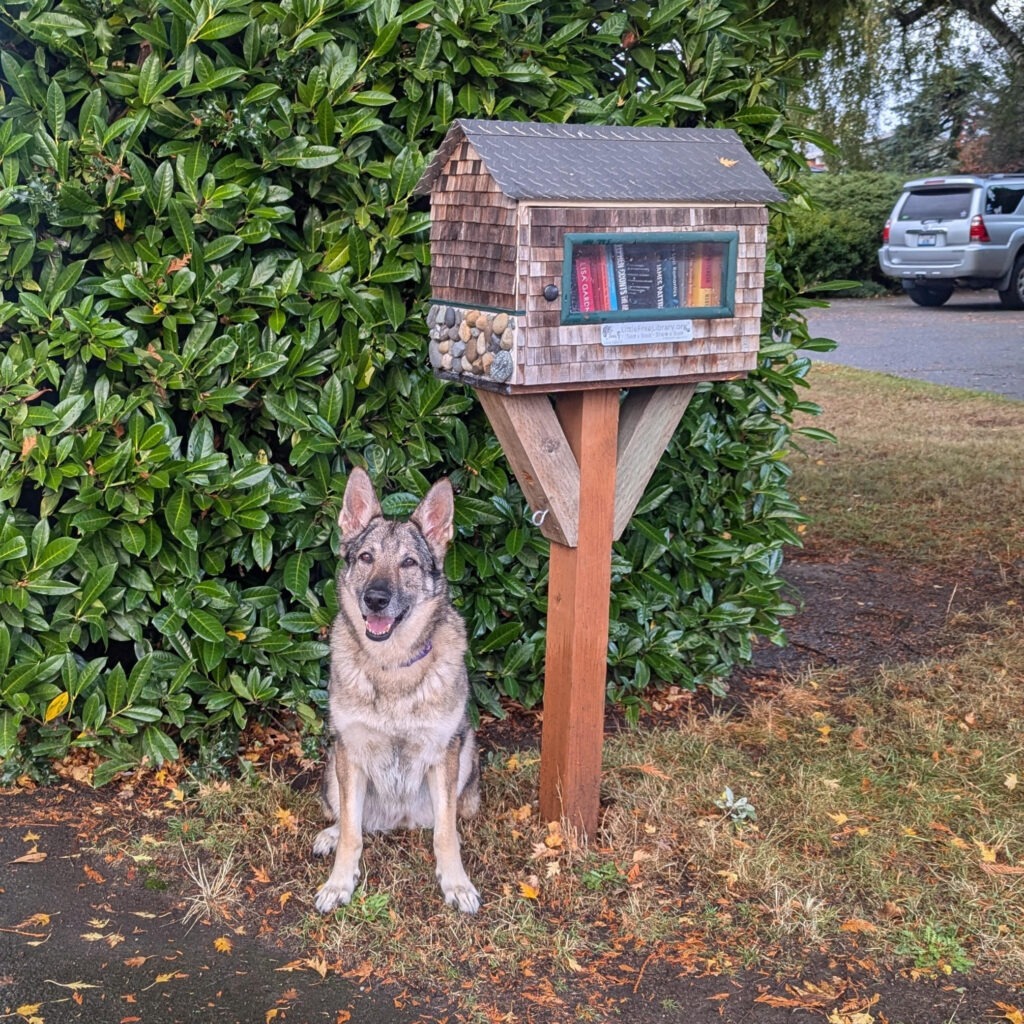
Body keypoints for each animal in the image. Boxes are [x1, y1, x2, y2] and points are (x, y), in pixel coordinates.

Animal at [309, 468, 481, 917]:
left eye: (408, 562)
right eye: (366, 558)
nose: (375, 599)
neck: (392, 667)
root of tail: (398, 822)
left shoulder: (444, 752)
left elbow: (445, 835)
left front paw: (456, 883)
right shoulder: (350, 749)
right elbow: (352, 833)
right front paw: (339, 883)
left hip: (467, 753)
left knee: (447, 820)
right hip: (333, 765)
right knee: (349, 819)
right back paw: (331, 834)